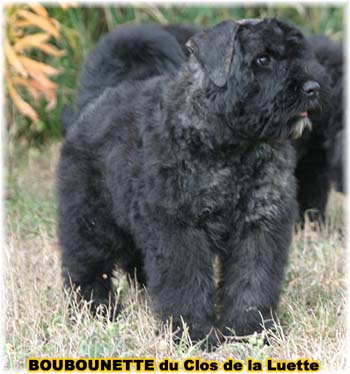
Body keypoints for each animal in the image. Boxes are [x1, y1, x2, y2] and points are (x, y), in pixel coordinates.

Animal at [57, 19, 328, 344]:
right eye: (263, 58)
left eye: (298, 52)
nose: (313, 88)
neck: (232, 147)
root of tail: (95, 102)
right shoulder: (180, 228)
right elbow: (187, 284)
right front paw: (194, 333)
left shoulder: (259, 224)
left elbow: (252, 280)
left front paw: (250, 330)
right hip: (90, 224)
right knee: (86, 268)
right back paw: (95, 312)